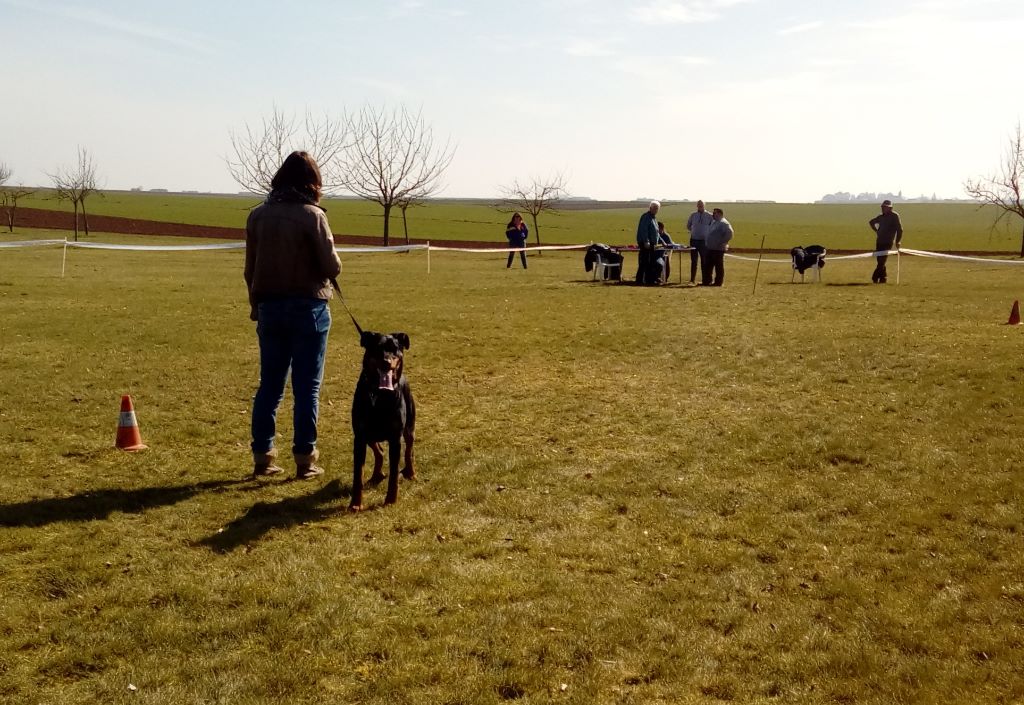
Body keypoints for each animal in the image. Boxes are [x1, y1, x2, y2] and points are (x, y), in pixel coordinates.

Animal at [352, 332, 415, 512]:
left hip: (409, 427)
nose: (387, 361)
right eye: (377, 348)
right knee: (378, 450)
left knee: (409, 449)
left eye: (395, 349)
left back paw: (411, 472)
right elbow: (357, 474)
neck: (380, 395)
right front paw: (355, 504)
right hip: (369, 434)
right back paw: (376, 475)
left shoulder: (395, 438)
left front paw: (390, 500)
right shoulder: (359, 436)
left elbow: (394, 472)